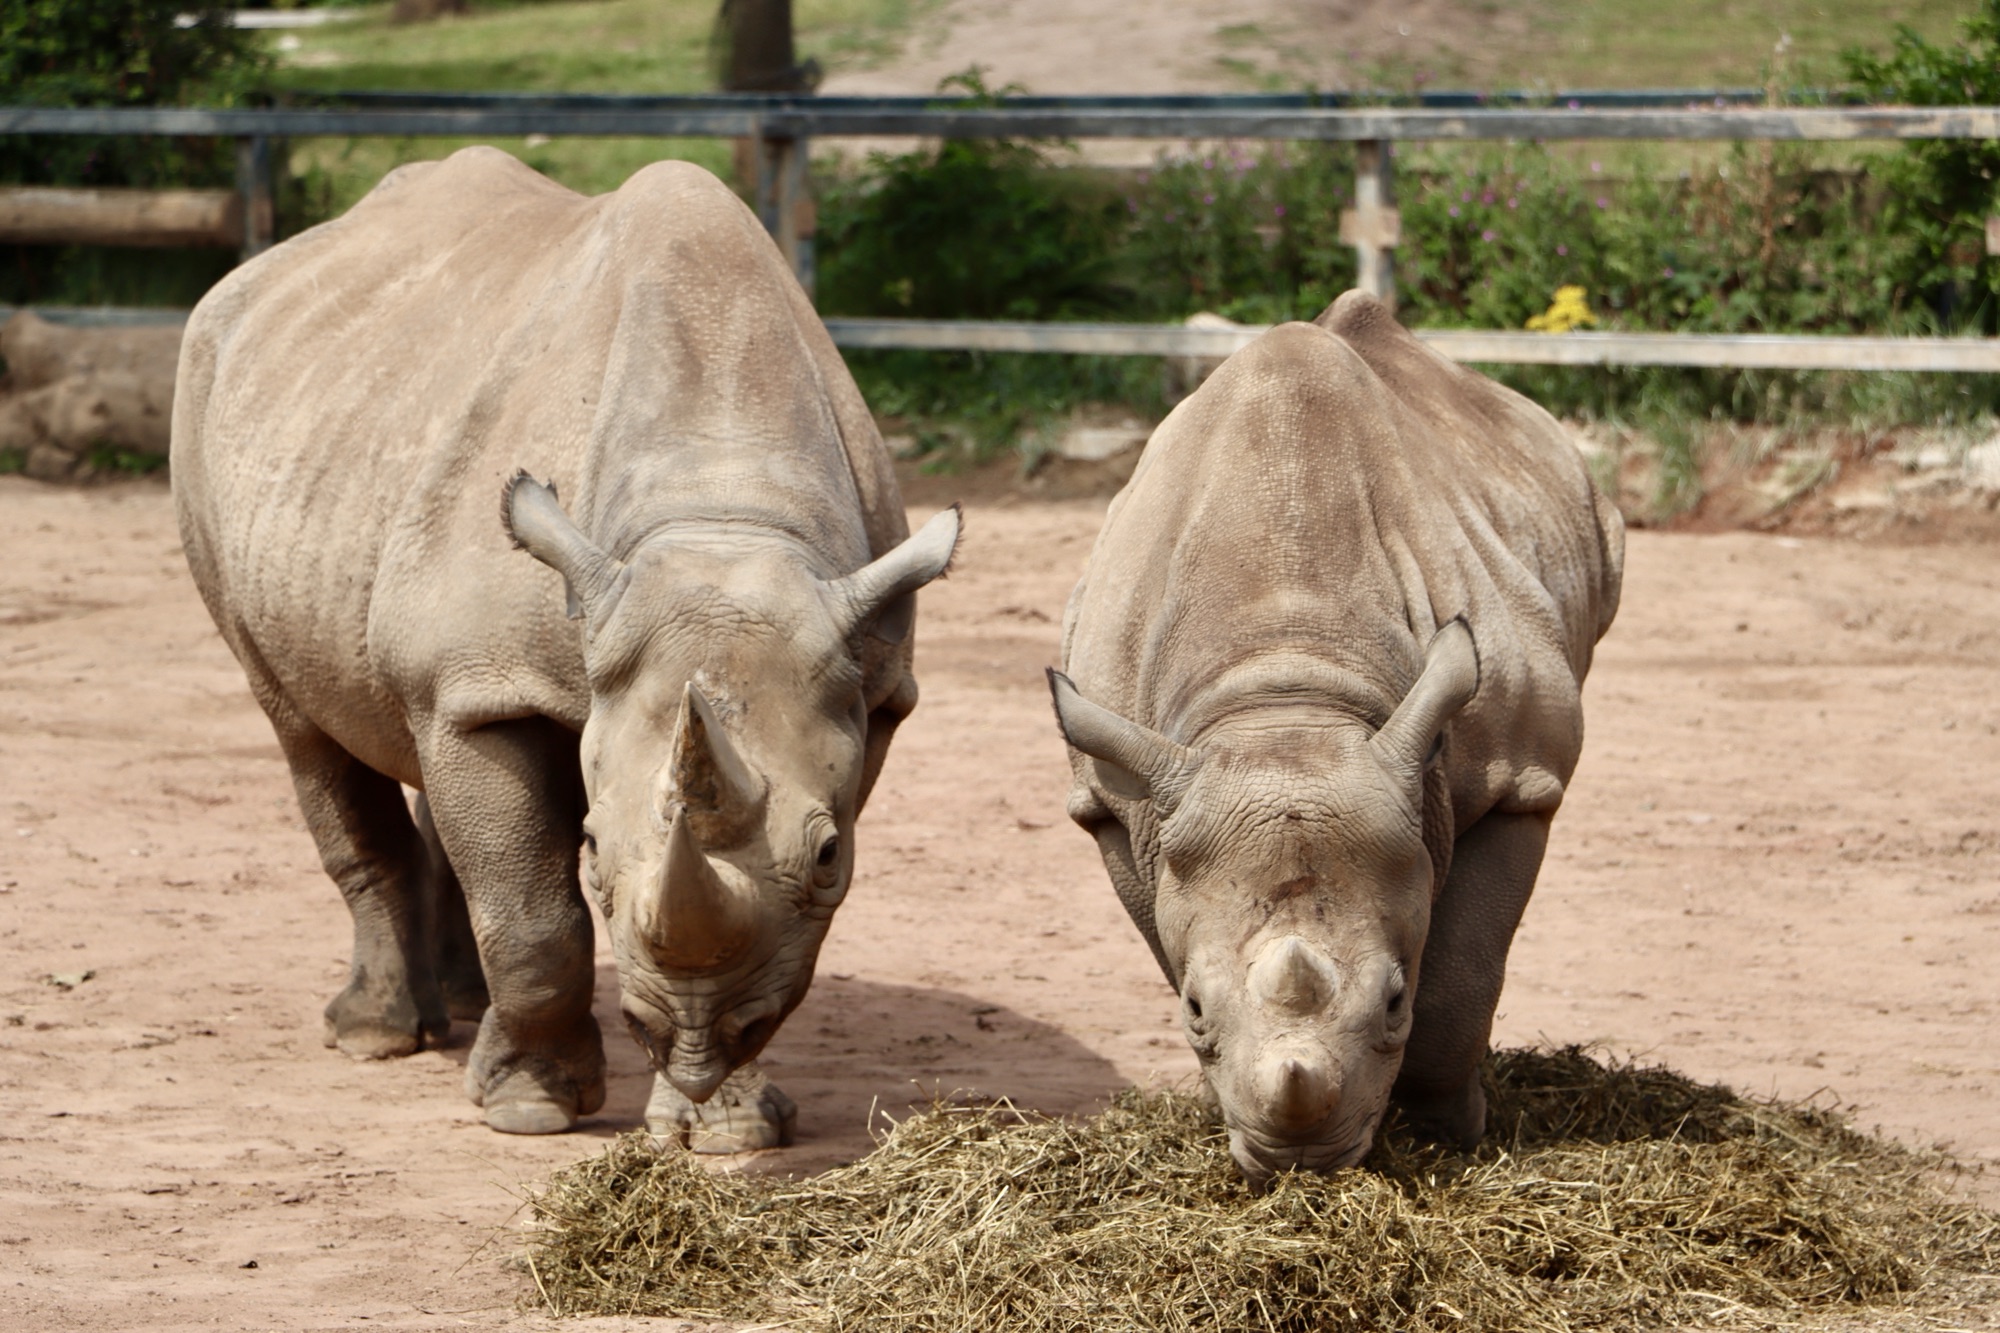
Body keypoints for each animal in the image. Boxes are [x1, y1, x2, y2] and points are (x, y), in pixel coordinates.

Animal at [172, 147, 959, 1146]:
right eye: (591, 845)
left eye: (828, 854)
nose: (688, 1036)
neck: (722, 512)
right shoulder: (486, 679)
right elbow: (533, 911)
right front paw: (529, 1106)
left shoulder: (872, 684)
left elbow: (780, 924)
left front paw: (724, 1124)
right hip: (211, 404)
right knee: (304, 724)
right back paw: (377, 1035)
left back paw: (467, 1011)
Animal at [1048, 293, 1622, 1184]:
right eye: (1195, 1008)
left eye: (1393, 999)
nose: (1300, 1160)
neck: (1287, 687)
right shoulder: (1115, 798)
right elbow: (1168, 938)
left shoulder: (1520, 779)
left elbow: (1458, 982)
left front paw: (1452, 1130)